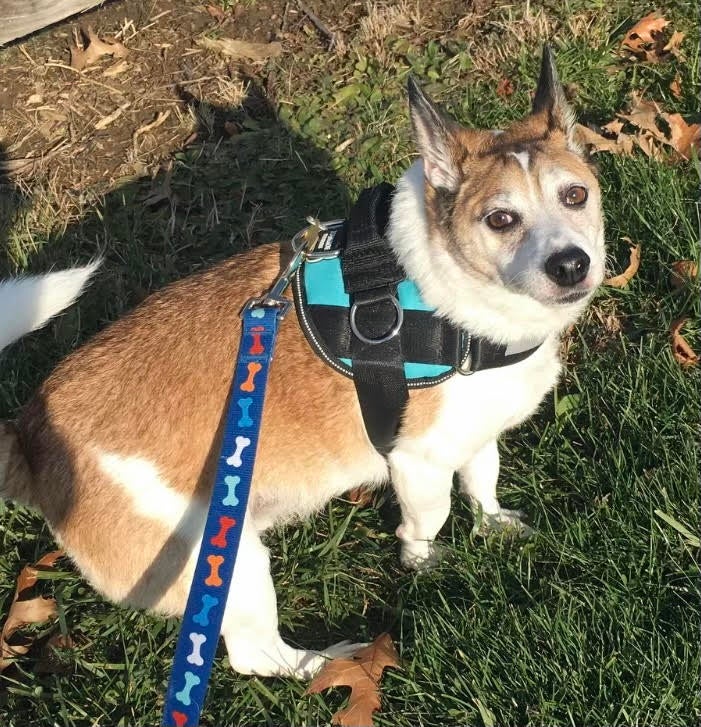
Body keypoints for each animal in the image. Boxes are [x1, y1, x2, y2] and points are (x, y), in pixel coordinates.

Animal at [0, 48, 600, 680]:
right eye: (500, 220)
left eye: (575, 196)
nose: (570, 264)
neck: (447, 292)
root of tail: (34, 436)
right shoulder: (417, 462)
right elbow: (428, 519)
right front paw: (424, 561)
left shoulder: (476, 433)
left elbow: (483, 478)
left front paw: (493, 522)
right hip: (228, 564)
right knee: (252, 656)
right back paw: (324, 665)